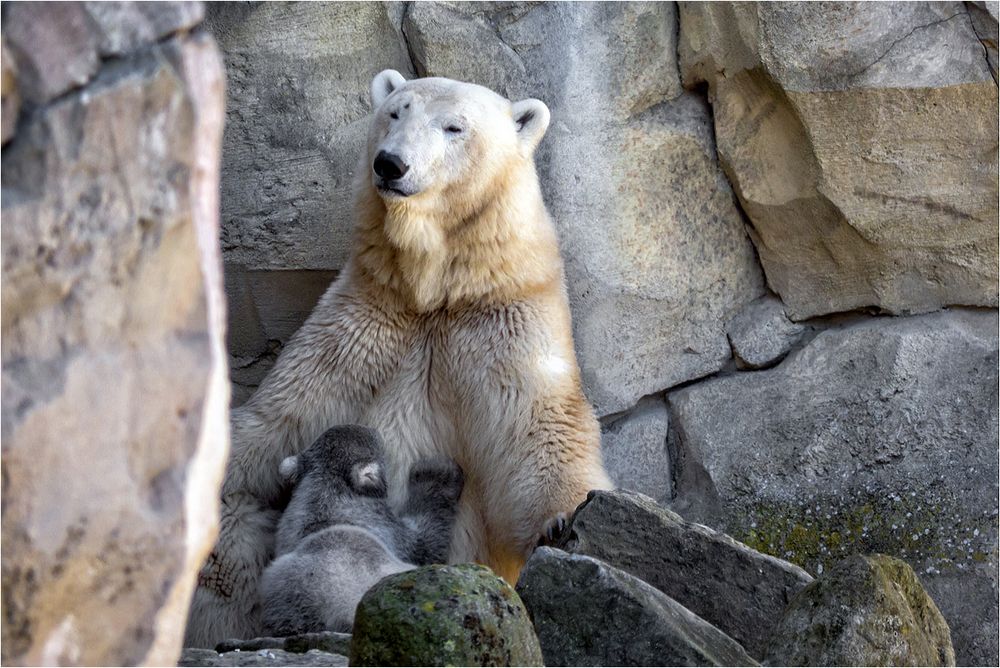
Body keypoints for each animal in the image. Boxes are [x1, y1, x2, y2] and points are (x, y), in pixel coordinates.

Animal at [184, 69, 612, 648]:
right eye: (394, 112)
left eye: (454, 127)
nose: (390, 164)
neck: (434, 293)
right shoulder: (363, 327)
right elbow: (277, 422)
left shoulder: (502, 323)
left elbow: (539, 427)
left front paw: (562, 521)